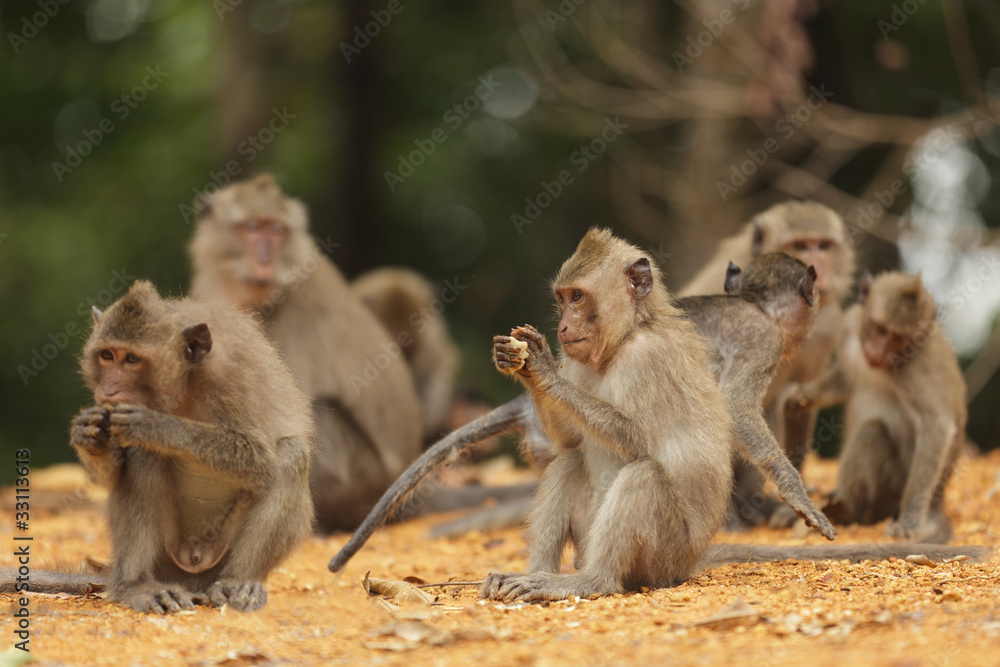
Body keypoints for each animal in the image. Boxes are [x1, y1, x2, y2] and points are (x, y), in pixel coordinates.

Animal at [1, 282, 312, 616]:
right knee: (144, 457)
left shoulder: (234, 378)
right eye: (107, 355)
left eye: (132, 359)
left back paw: (238, 582)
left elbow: (258, 459)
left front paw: (153, 425)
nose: (108, 390)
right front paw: (89, 436)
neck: (184, 383)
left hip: (216, 557)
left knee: (291, 455)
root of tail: (192, 573)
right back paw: (136, 586)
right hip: (166, 557)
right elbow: (116, 472)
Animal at [188, 175, 422, 536]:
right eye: (253, 227)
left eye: (276, 230)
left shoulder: (285, 321)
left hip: (363, 482)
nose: (265, 260)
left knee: (319, 417)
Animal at [680, 201, 860, 528]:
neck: (762, 309)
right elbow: (735, 405)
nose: (817, 266)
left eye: (823, 246)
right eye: (801, 245)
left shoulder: (828, 328)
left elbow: (799, 401)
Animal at [784, 272, 964, 544]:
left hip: (892, 490)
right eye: (880, 329)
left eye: (900, 339)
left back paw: (849, 510)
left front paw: (910, 522)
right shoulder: (849, 326)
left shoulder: (916, 362)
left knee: (871, 433)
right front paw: (804, 395)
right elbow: (846, 379)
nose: (878, 354)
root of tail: (938, 503)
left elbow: (936, 424)